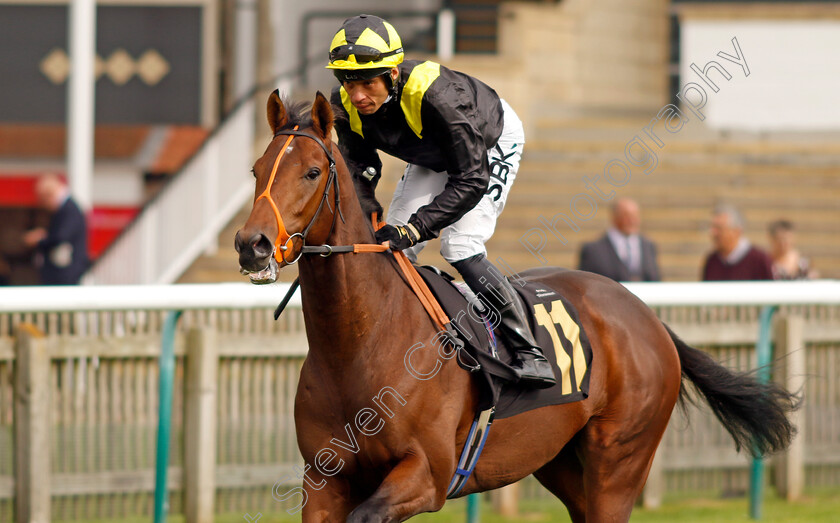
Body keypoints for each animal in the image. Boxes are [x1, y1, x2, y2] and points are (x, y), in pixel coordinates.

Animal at [233, 93, 796, 523]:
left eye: (311, 172)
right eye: (256, 170)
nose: (251, 244)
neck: (361, 342)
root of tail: (645, 315)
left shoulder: (427, 474)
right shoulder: (323, 480)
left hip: (620, 460)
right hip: (560, 462)